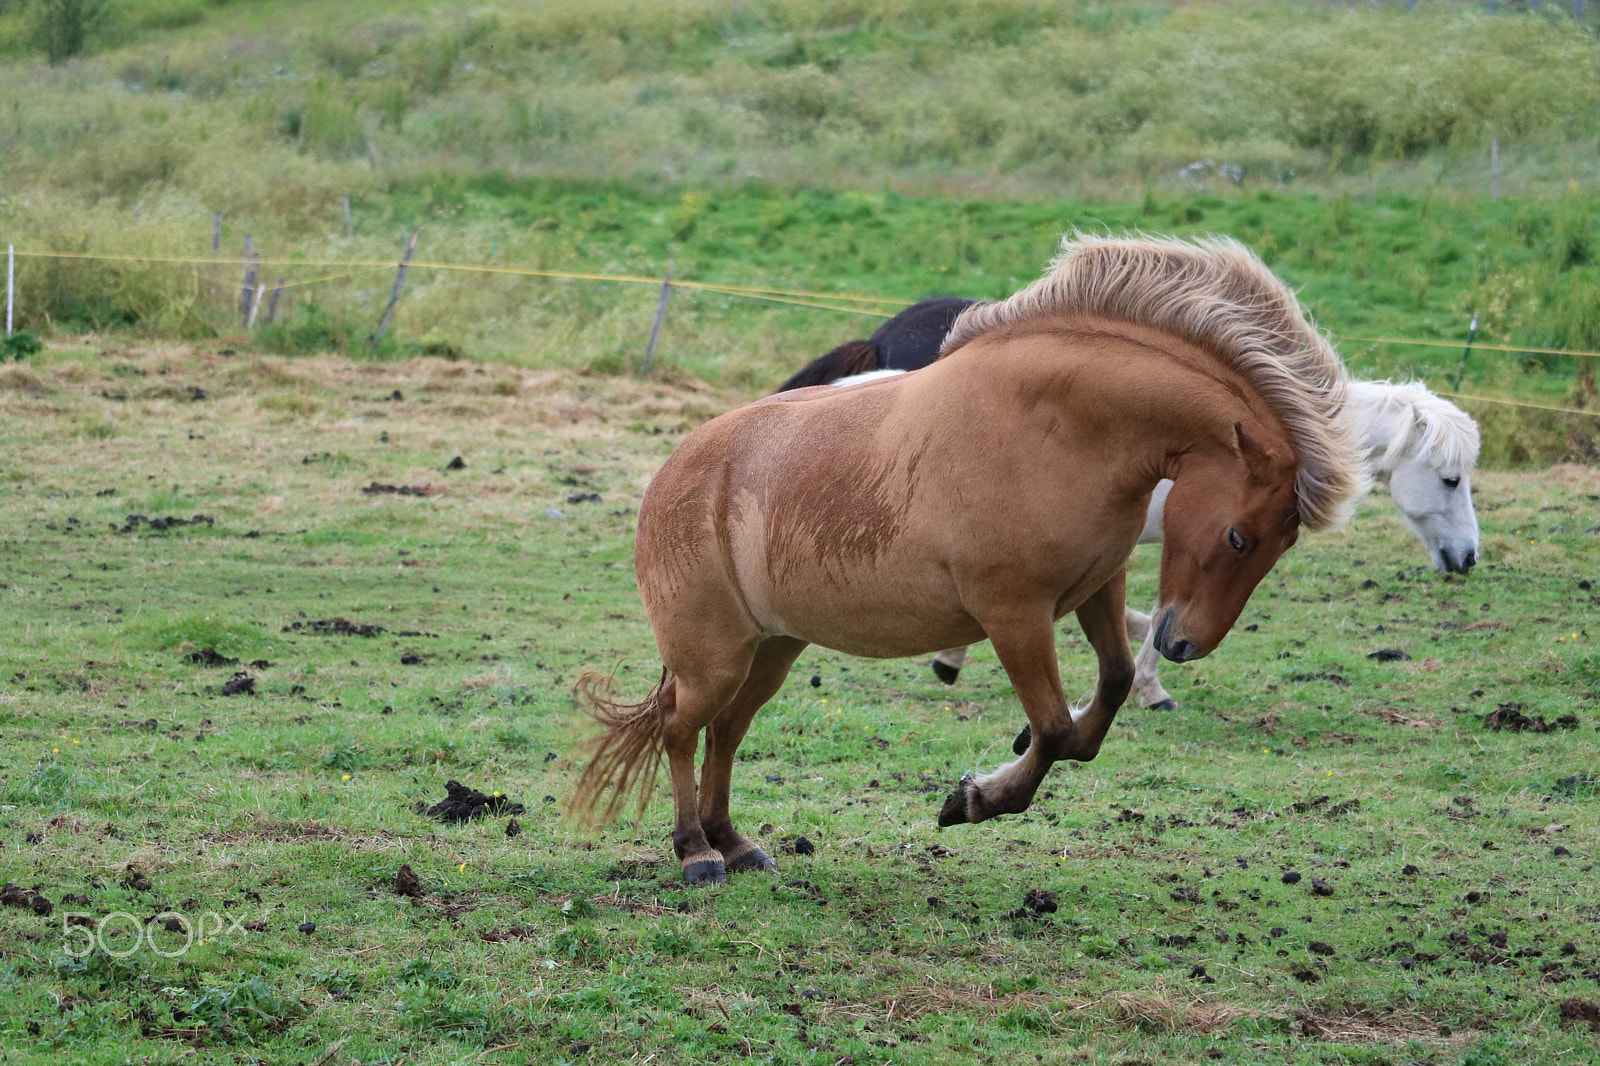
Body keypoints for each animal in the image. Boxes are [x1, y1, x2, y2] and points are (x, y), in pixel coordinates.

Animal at [572, 234, 1368, 886]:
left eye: (1282, 544)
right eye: (1239, 537)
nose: (1183, 645)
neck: (1061, 426)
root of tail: (675, 472)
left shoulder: (1097, 588)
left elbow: (1104, 695)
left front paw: (1009, 761)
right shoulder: (1014, 615)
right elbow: (1055, 729)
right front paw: (973, 800)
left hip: (770, 649)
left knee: (727, 731)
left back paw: (734, 843)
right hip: (713, 657)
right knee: (682, 729)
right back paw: (695, 853)